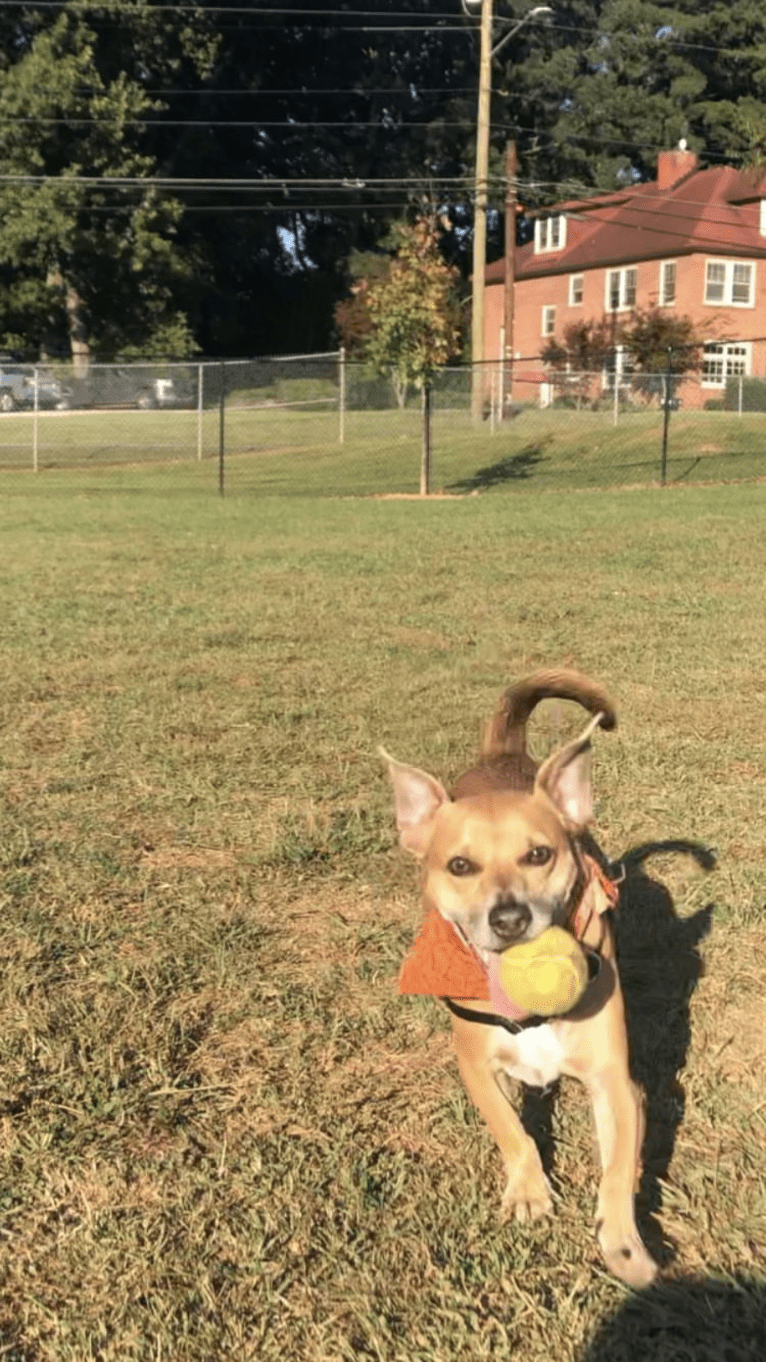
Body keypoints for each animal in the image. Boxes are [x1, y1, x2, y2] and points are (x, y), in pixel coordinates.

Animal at [384, 670, 654, 1285]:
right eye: (460, 866)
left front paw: (624, 1243)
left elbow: (617, 1166)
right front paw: (530, 1190)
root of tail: (501, 754)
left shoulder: (613, 1079)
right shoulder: (475, 1065)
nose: (508, 919)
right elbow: (512, 1130)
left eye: (539, 855)